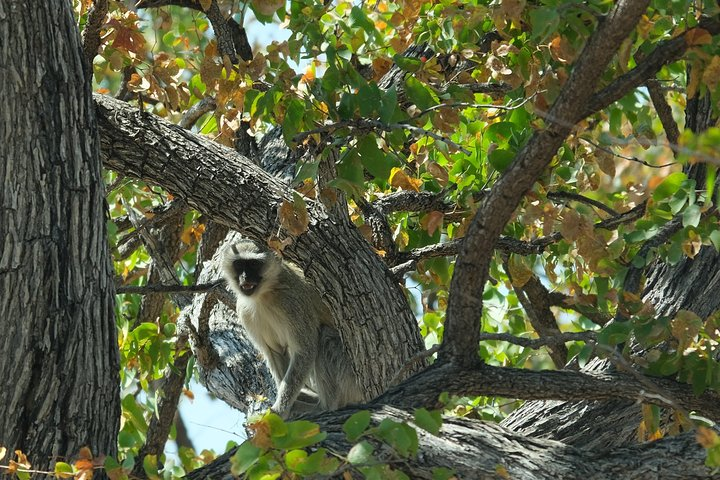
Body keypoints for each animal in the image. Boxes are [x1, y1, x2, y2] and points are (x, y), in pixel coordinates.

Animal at [222, 240, 362, 416]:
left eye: (254, 264)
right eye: (240, 264)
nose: (245, 277)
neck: (265, 294)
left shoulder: (292, 304)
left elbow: (304, 351)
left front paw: (280, 410)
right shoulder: (245, 312)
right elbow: (275, 350)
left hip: (351, 376)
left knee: (325, 336)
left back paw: (324, 407)